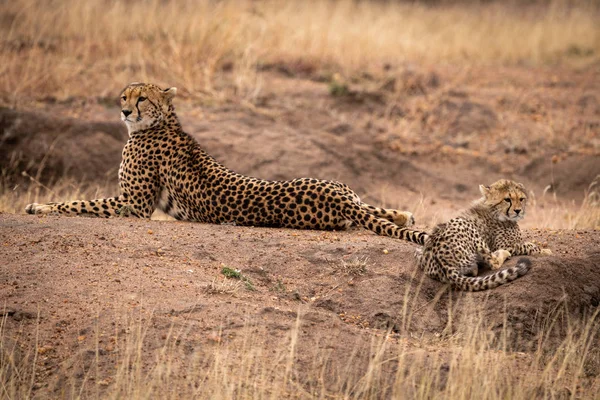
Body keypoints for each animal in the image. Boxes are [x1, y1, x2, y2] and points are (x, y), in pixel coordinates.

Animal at [25, 83, 424, 242]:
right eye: (125, 96)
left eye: (141, 99)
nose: (124, 111)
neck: (161, 122)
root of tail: (337, 196)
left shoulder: (134, 206)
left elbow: (79, 203)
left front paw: (40, 207)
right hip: (343, 188)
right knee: (374, 208)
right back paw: (405, 215)